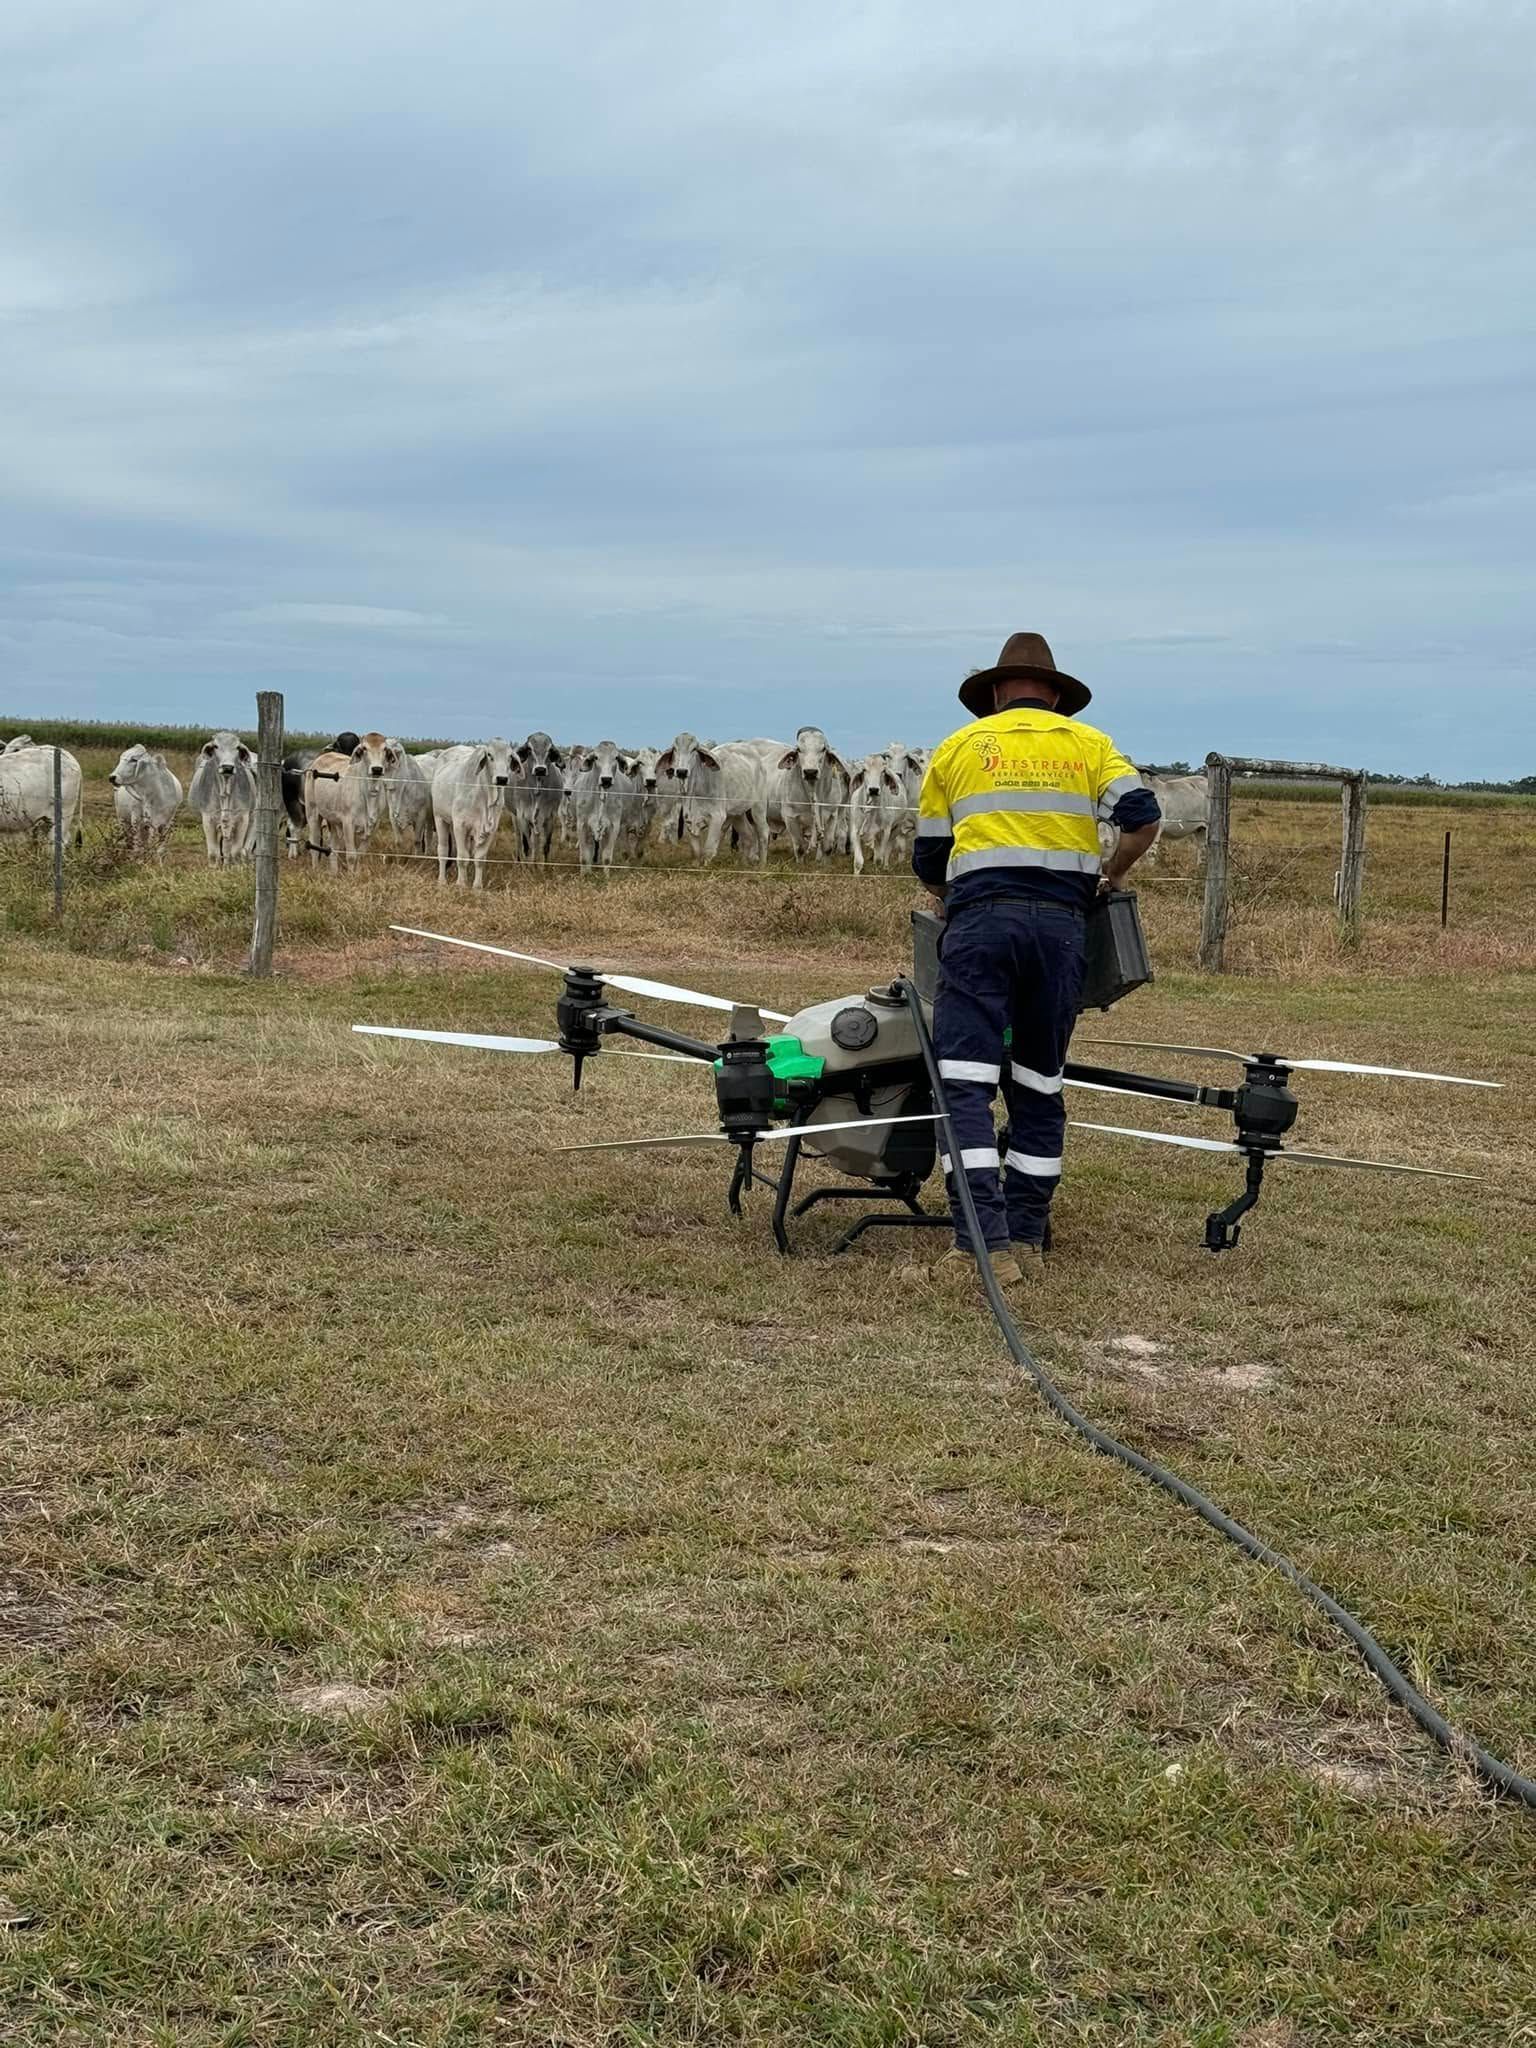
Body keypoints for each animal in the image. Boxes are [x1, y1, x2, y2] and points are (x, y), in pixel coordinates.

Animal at [187, 731, 258, 866]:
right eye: (215, 746)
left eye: (237, 747)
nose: (227, 767)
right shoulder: (208, 819)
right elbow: (213, 854)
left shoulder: (243, 819)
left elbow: (236, 852)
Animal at [431, 739, 514, 887]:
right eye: (489, 755)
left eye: (510, 756)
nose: (502, 779)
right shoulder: (460, 825)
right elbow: (462, 857)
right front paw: (461, 884)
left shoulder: (491, 829)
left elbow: (479, 858)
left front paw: (477, 886)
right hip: (440, 818)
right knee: (443, 850)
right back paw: (442, 880)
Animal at [509, 732, 566, 865]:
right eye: (529, 749)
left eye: (550, 750)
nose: (540, 769)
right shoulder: (522, 816)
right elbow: (526, 847)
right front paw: (527, 868)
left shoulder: (550, 817)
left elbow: (545, 846)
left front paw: (544, 868)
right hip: (515, 817)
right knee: (519, 840)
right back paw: (519, 861)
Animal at [569, 741, 641, 873]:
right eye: (596, 757)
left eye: (616, 758)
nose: (606, 779)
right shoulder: (582, 825)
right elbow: (584, 857)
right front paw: (585, 874)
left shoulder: (614, 826)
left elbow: (607, 857)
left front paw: (606, 876)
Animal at [655, 732, 775, 864]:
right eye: (675, 749)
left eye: (694, 749)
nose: (682, 771)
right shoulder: (688, 819)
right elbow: (696, 851)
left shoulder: (718, 816)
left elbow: (708, 851)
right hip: (737, 813)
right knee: (748, 836)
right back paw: (744, 863)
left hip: (758, 807)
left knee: (764, 833)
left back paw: (762, 864)